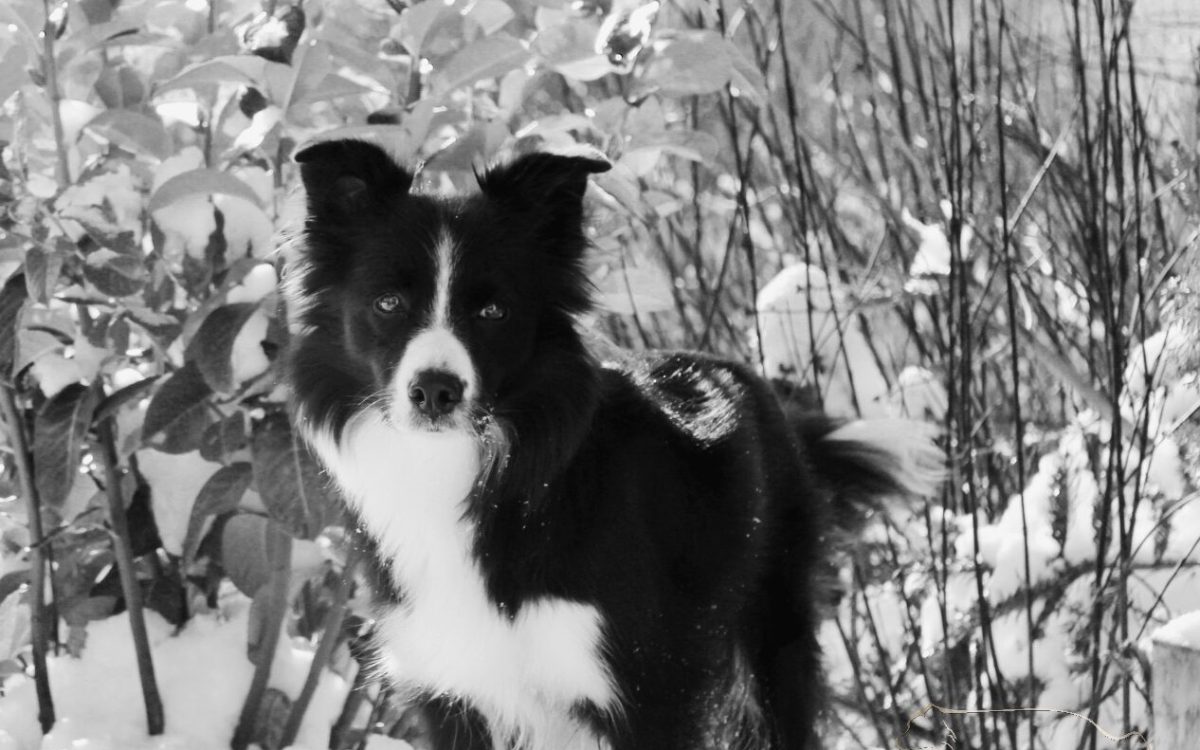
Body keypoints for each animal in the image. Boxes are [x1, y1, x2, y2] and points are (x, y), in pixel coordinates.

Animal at [285, 140, 940, 748]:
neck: (479, 476)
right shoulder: (453, 691)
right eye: (388, 303)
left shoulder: (643, 689)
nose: (435, 392)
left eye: (493, 310)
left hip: (773, 641)